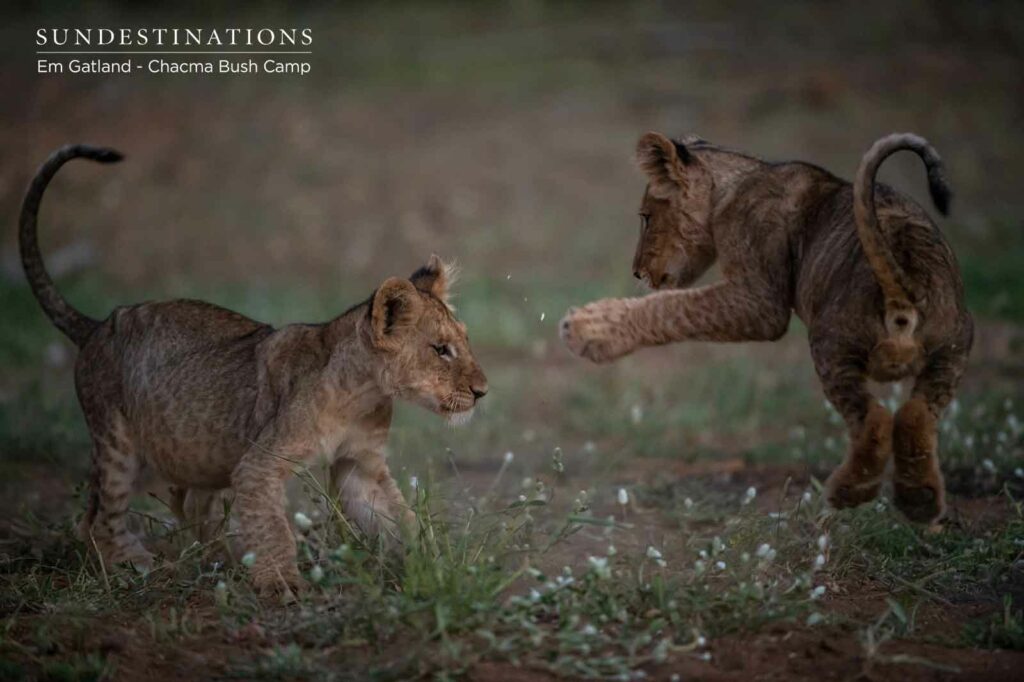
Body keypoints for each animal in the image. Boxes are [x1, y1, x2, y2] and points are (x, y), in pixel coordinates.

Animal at [19, 145, 488, 595]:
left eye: (464, 341)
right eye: (441, 350)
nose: (483, 391)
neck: (363, 392)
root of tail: (97, 325)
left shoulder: (360, 463)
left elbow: (400, 519)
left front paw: (436, 569)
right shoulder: (260, 464)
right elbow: (273, 528)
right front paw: (282, 583)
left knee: (182, 506)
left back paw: (216, 560)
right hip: (117, 445)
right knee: (98, 519)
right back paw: (133, 565)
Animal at [560, 132, 972, 524]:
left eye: (646, 216)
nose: (636, 271)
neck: (731, 188)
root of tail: (905, 288)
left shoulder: (761, 302)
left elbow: (676, 307)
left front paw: (588, 329)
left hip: (831, 342)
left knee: (876, 417)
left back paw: (849, 491)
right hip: (952, 347)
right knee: (917, 414)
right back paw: (919, 501)